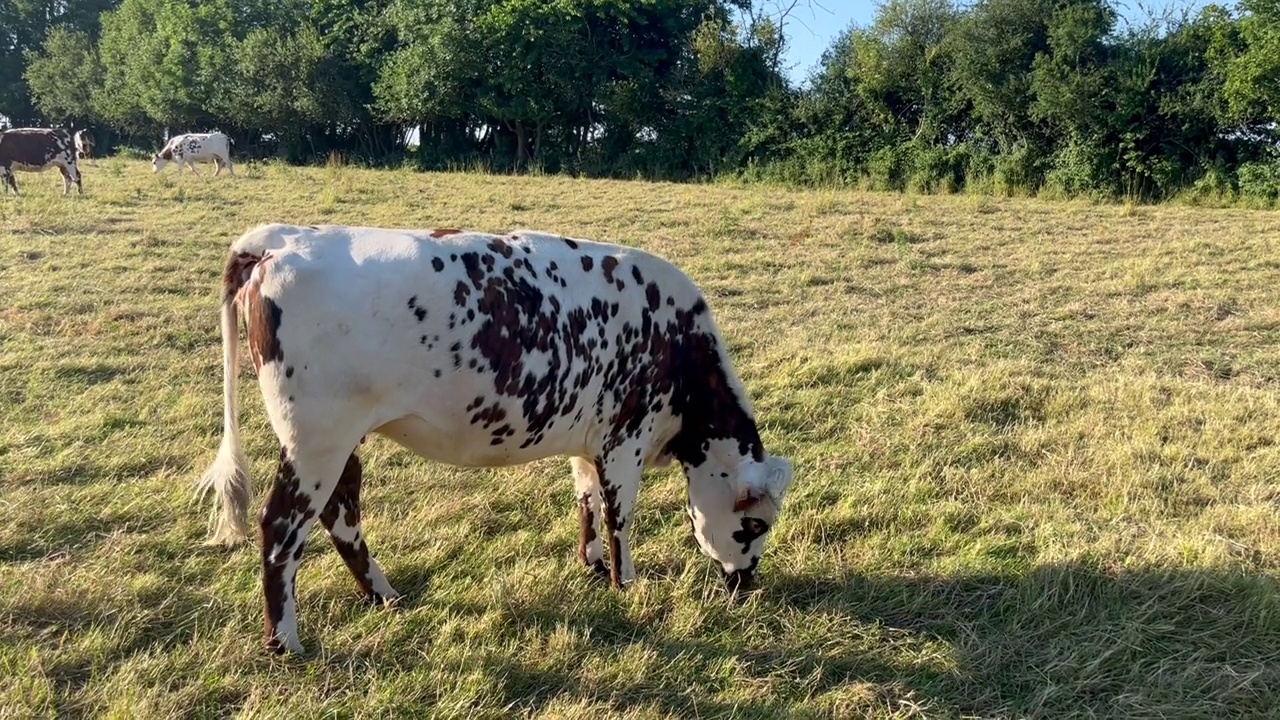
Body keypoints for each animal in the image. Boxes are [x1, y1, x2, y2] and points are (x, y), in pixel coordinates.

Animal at [197, 220, 798, 650]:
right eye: (753, 525)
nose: (747, 584)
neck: (677, 345)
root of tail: (281, 239)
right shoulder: (625, 439)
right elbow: (619, 516)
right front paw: (625, 583)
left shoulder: (588, 440)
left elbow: (585, 499)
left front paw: (592, 566)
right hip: (315, 439)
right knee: (281, 527)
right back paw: (286, 642)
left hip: (339, 443)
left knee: (340, 514)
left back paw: (385, 597)